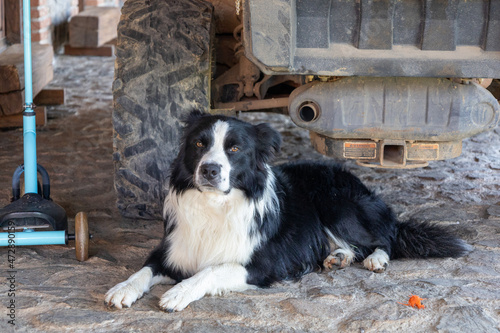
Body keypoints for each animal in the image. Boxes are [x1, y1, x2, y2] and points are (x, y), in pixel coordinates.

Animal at [104, 111, 468, 312]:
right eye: (199, 144)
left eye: (233, 148)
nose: (209, 170)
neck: (215, 206)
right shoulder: (172, 249)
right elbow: (143, 270)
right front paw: (122, 289)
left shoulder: (260, 265)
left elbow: (210, 271)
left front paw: (178, 292)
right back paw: (338, 257)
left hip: (337, 205)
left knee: (386, 236)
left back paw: (375, 258)